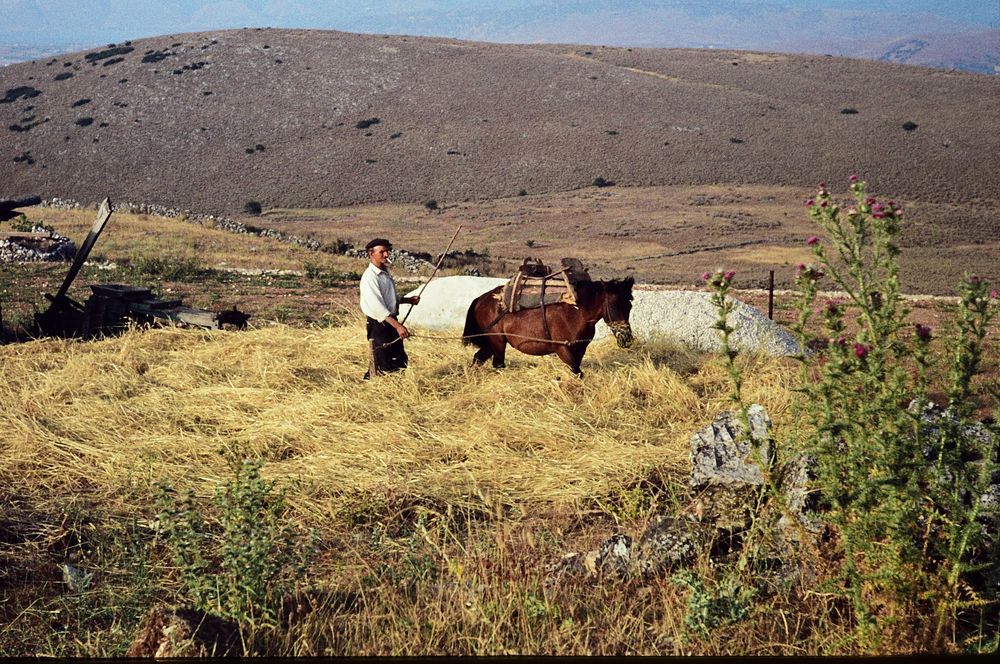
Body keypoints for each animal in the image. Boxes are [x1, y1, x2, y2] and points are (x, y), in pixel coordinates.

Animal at [464, 278, 636, 376]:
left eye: (629, 306)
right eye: (614, 306)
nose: (627, 338)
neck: (575, 312)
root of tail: (481, 299)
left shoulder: (580, 349)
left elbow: (576, 371)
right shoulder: (562, 348)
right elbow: (577, 371)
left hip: (492, 342)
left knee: (478, 358)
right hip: (498, 341)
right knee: (498, 364)